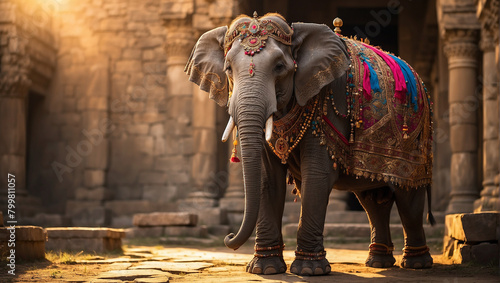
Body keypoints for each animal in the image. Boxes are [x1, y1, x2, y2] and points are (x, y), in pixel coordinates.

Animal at [186, 12, 436, 276]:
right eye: (228, 69)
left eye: (279, 67)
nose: (228, 237)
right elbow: (267, 178)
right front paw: (265, 269)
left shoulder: (328, 102)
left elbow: (317, 174)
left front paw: (309, 270)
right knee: (373, 200)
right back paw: (378, 262)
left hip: (415, 142)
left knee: (408, 198)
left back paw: (417, 264)